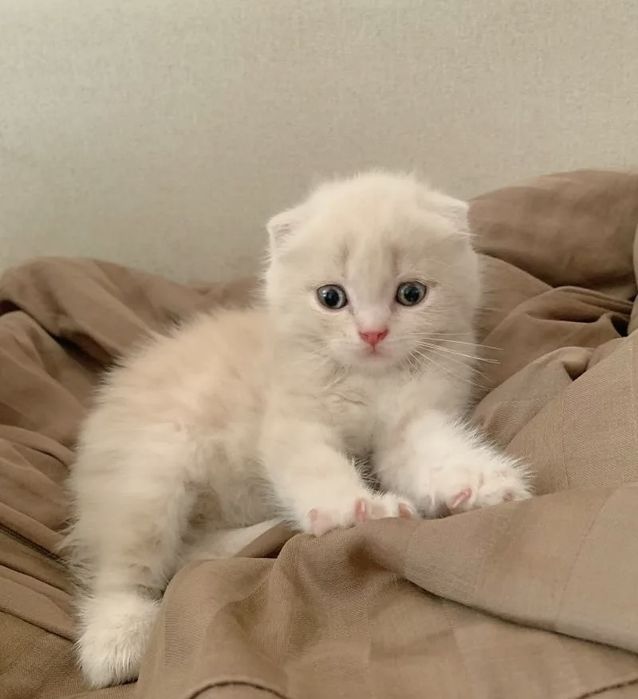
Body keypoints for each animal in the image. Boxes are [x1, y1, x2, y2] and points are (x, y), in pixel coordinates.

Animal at [65, 171, 532, 688]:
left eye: (411, 294)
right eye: (331, 298)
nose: (372, 334)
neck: (368, 379)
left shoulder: (412, 419)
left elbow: (432, 451)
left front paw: (479, 481)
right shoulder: (294, 422)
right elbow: (317, 469)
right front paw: (359, 509)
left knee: (187, 554)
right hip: (154, 472)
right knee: (123, 566)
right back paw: (117, 639)